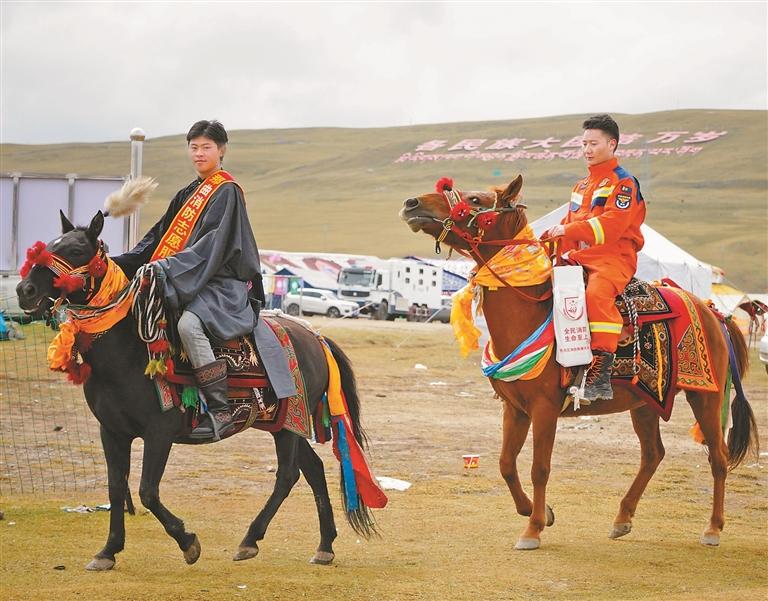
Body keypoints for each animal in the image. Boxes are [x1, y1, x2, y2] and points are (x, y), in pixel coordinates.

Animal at [16, 211, 379, 570]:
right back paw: (324, 546)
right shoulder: (113, 431)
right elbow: (116, 489)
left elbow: (147, 491)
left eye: (76, 250)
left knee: (288, 475)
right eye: (50, 245)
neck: (125, 350)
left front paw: (188, 542)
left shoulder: (159, 432)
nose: (24, 289)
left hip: (290, 423)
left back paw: (250, 540)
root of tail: (315, 337)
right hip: (285, 423)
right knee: (313, 471)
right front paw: (108, 551)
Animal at [400, 175, 758, 550]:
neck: (529, 312)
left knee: (717, 458)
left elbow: (539, 468)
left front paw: (533, 529)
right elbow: (505, 464)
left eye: (475, 200)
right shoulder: (515, 408)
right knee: (653, 454)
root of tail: (713, 311)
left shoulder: (544, 409)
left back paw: (713, 528)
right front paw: (538, 512)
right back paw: (622, 518)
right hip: (645, 402)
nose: (412, 203)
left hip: (705, 397)